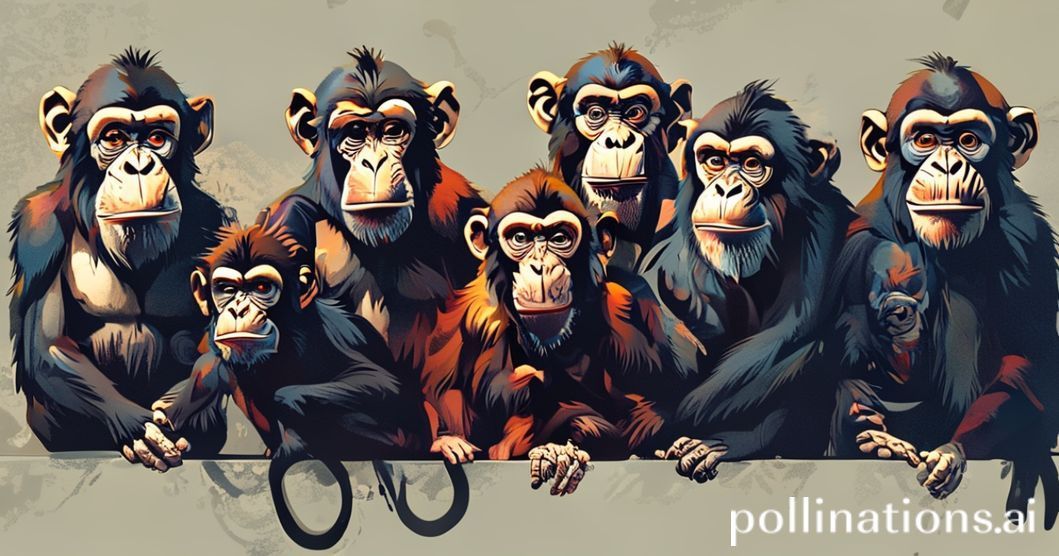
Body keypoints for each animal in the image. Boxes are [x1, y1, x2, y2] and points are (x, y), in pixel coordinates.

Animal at [8, 48, 232, 452]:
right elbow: (48, 343)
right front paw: (141, 429)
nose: (139, 165)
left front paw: (172, 411)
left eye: (158, 137)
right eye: (114, 137)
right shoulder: (39, 227)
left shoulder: (216, 221)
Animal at [421, 168, 700, 494]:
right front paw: (448, 440)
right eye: (520, 238)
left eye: (559, 238)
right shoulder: (473, 312)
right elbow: (443, 390)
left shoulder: (632, 303)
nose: (541, 267)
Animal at [640, 82, 854, 481]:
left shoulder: (823, 225)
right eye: (714, 160)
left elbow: (791, 340)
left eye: (753, 164)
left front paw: (719, 443)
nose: (726, 189)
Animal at [826, 54, 1058, 523]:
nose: (948, 164)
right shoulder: (858, 248)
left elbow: (1031, 361)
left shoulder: (1031, 239)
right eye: (925, 138)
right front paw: (859, 414)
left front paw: (951, 453)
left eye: (969, 140)